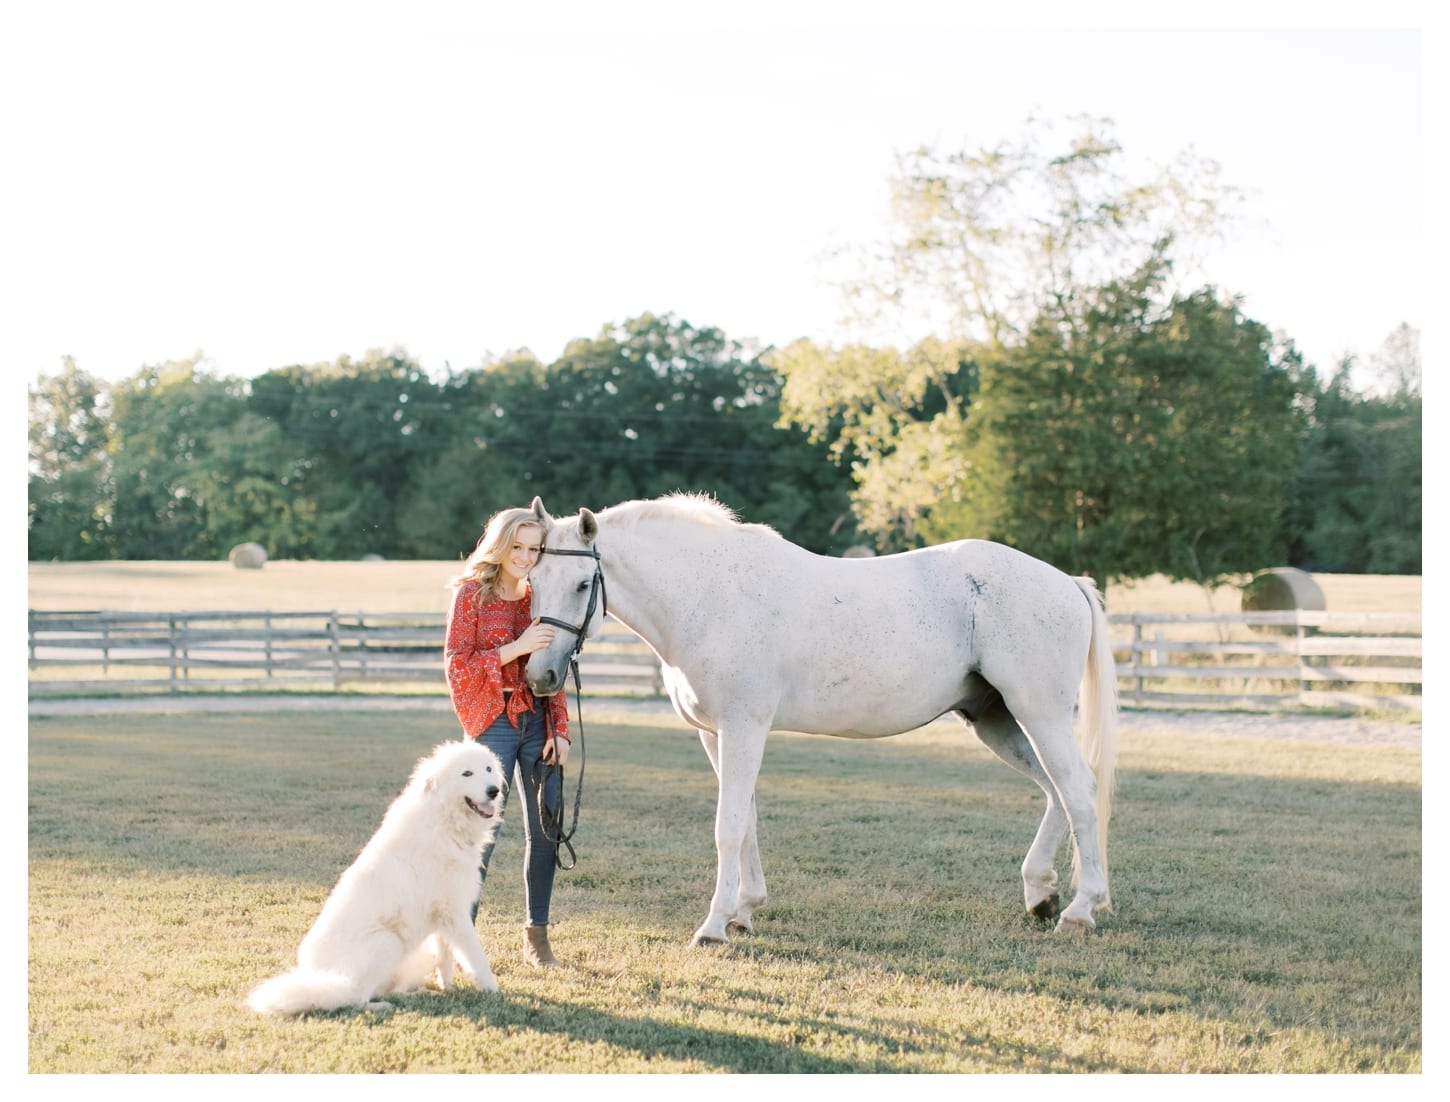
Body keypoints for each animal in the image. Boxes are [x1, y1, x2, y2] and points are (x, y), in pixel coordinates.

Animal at [245, 739, 504, 1015]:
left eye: (488, 769)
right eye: (467, 773)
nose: (494, 791)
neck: (444, 820)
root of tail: (329, 979)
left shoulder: (443, 915)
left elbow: (447, 957)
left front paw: (448, 987)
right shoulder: (454, 912)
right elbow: (476, 956)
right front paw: (494, 991)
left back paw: (418, 993)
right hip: (388, 942)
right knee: (356, 999)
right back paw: (383, 1006)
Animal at [524, 495, 1119, 945]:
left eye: (582, 584)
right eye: (531, 579)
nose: (540, 675)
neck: (709, 595)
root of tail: (1066, 581)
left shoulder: (744, 728)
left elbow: (727, 827)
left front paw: (714, 926)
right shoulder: (716, 735)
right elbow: (747, 823)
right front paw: (744, 911)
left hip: (1039, 713)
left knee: (1079, 792)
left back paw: (1079, 911)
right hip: (998, 720)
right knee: (1056, 794)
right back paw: (1041, 894)